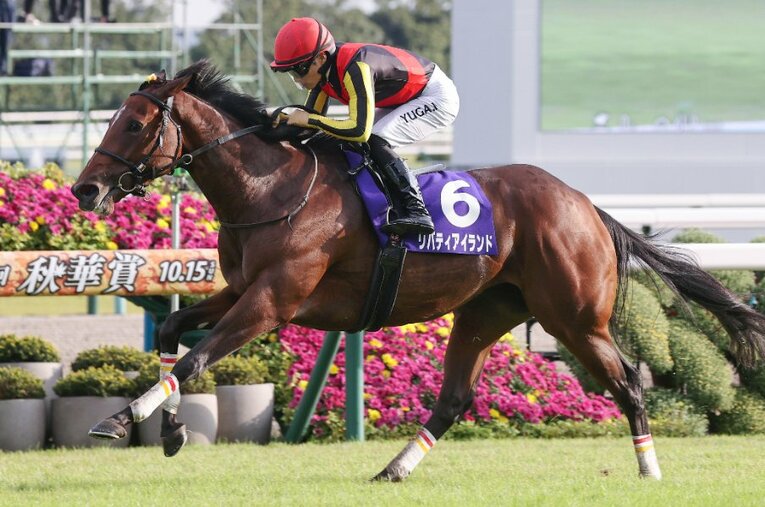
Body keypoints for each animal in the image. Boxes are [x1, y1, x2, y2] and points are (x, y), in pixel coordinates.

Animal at [71, 61, 765, 482]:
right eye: (114, 119)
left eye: (135, 123)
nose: (85, 190)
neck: (270, 188)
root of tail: (584, 203)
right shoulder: (241, 290)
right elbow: (174, 335)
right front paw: (169, 430)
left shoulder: (273, 302)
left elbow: (194, 358)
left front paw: (119, 420)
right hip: (487, 309)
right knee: (455, 397)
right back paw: (394, 468)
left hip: (574, 317)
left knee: (628, 385)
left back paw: (650, 469)